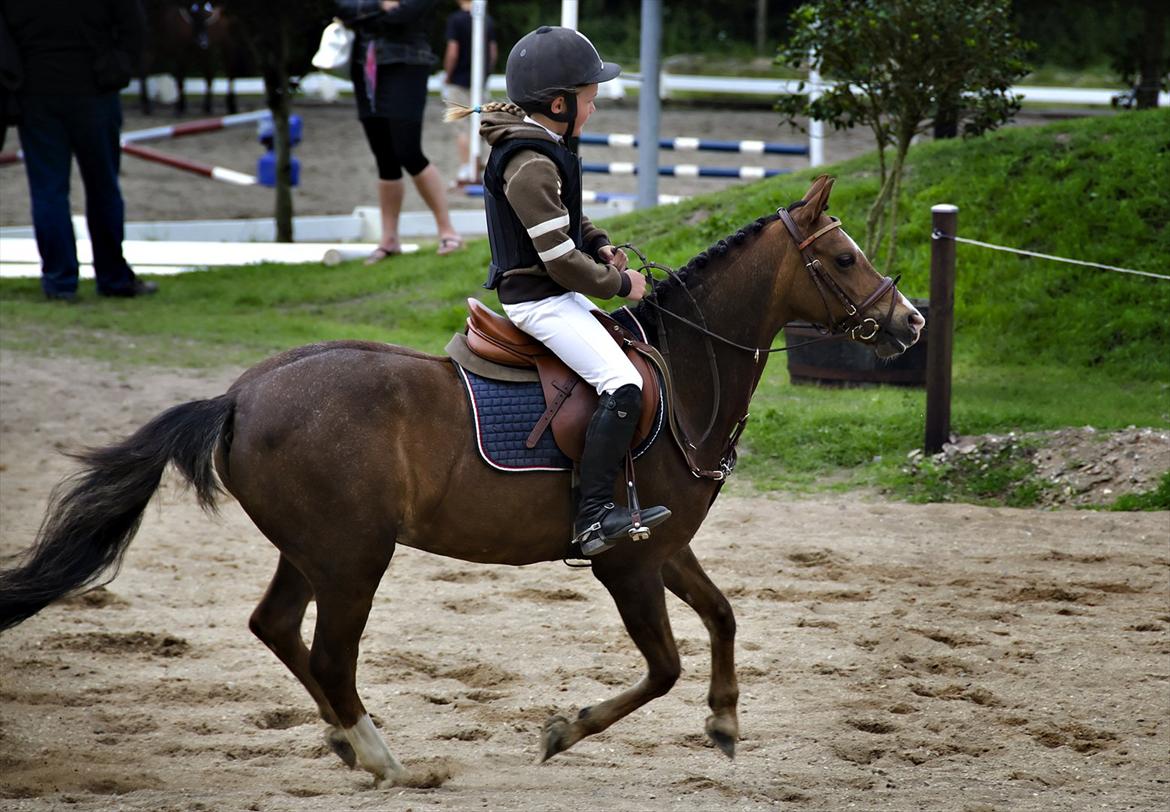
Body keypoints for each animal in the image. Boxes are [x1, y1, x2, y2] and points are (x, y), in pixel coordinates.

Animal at [0, 176, 921, 790]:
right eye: (844, 256)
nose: (910, 322)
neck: (683, 376)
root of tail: (238, 395)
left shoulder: (663, 545)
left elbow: (724, 617)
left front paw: (725, 719)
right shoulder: (625, 561)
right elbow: (662, 667)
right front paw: (565, 732)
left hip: (317, 551)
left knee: (276, 627)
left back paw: (346, 741)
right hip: (353, 559)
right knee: (329, 652)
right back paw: (382, 756)